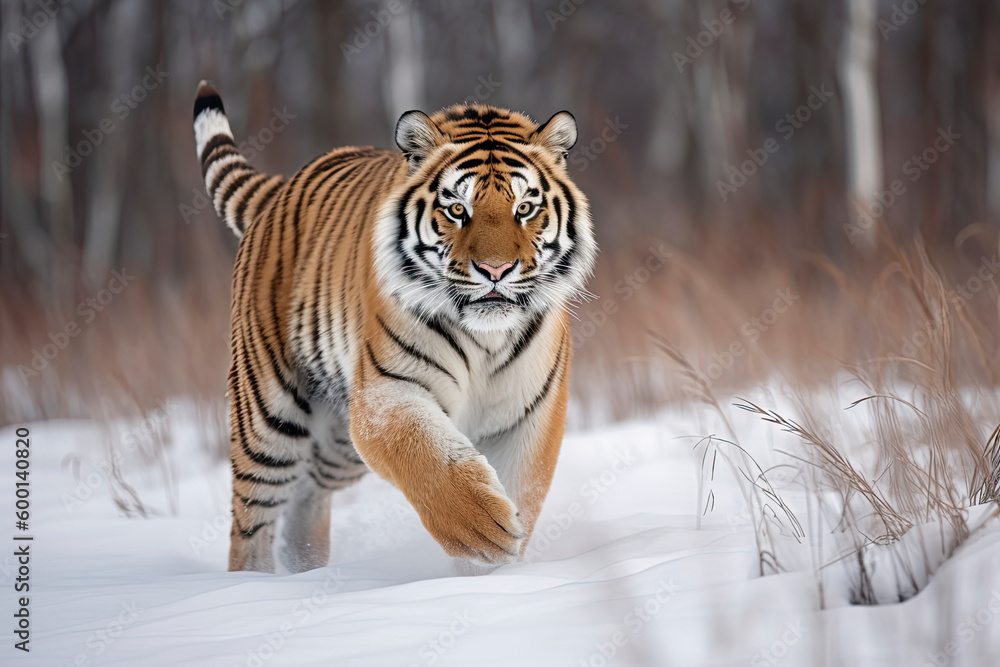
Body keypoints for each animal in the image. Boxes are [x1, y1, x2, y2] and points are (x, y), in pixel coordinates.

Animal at [192, 80, 597, 573]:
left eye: (524, 208)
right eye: (457, 209)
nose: (495, 270)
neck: (486, 340)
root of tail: (283, 187)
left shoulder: (529, 415)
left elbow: (523, 487)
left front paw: (491, 574)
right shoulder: (387, 395)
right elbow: (428, 458)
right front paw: (485, 529)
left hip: (337, 439)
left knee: (309, 492)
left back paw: (305, 568)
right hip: (267, 415)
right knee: (252, 517)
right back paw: (255, 582)